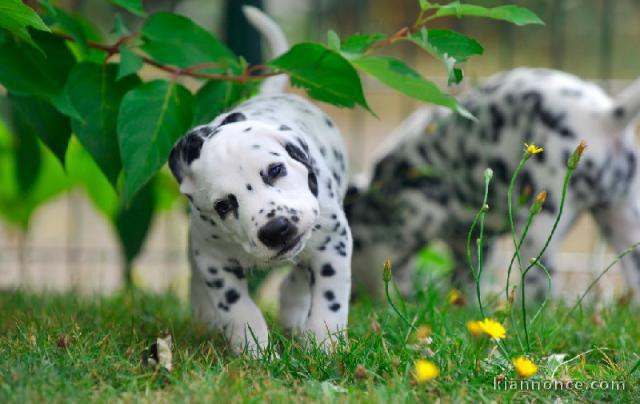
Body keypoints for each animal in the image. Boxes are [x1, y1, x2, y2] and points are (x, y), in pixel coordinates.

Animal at [168, 5, 352, 354]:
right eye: (223, 205)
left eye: (275, 170)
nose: (276, 229)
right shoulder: (213, 258)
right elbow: (238, 307)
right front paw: (254, 350)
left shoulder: (333, 241)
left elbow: (328, 299)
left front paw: (323, 344)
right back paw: (205, 318)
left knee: (298, 277)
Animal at [348, 68, 640, 304]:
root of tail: (605, 116)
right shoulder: (472, 239)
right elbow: (466, 276)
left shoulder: (420, 211)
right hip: (622, 217)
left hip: (540, 227)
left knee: (537, 287)